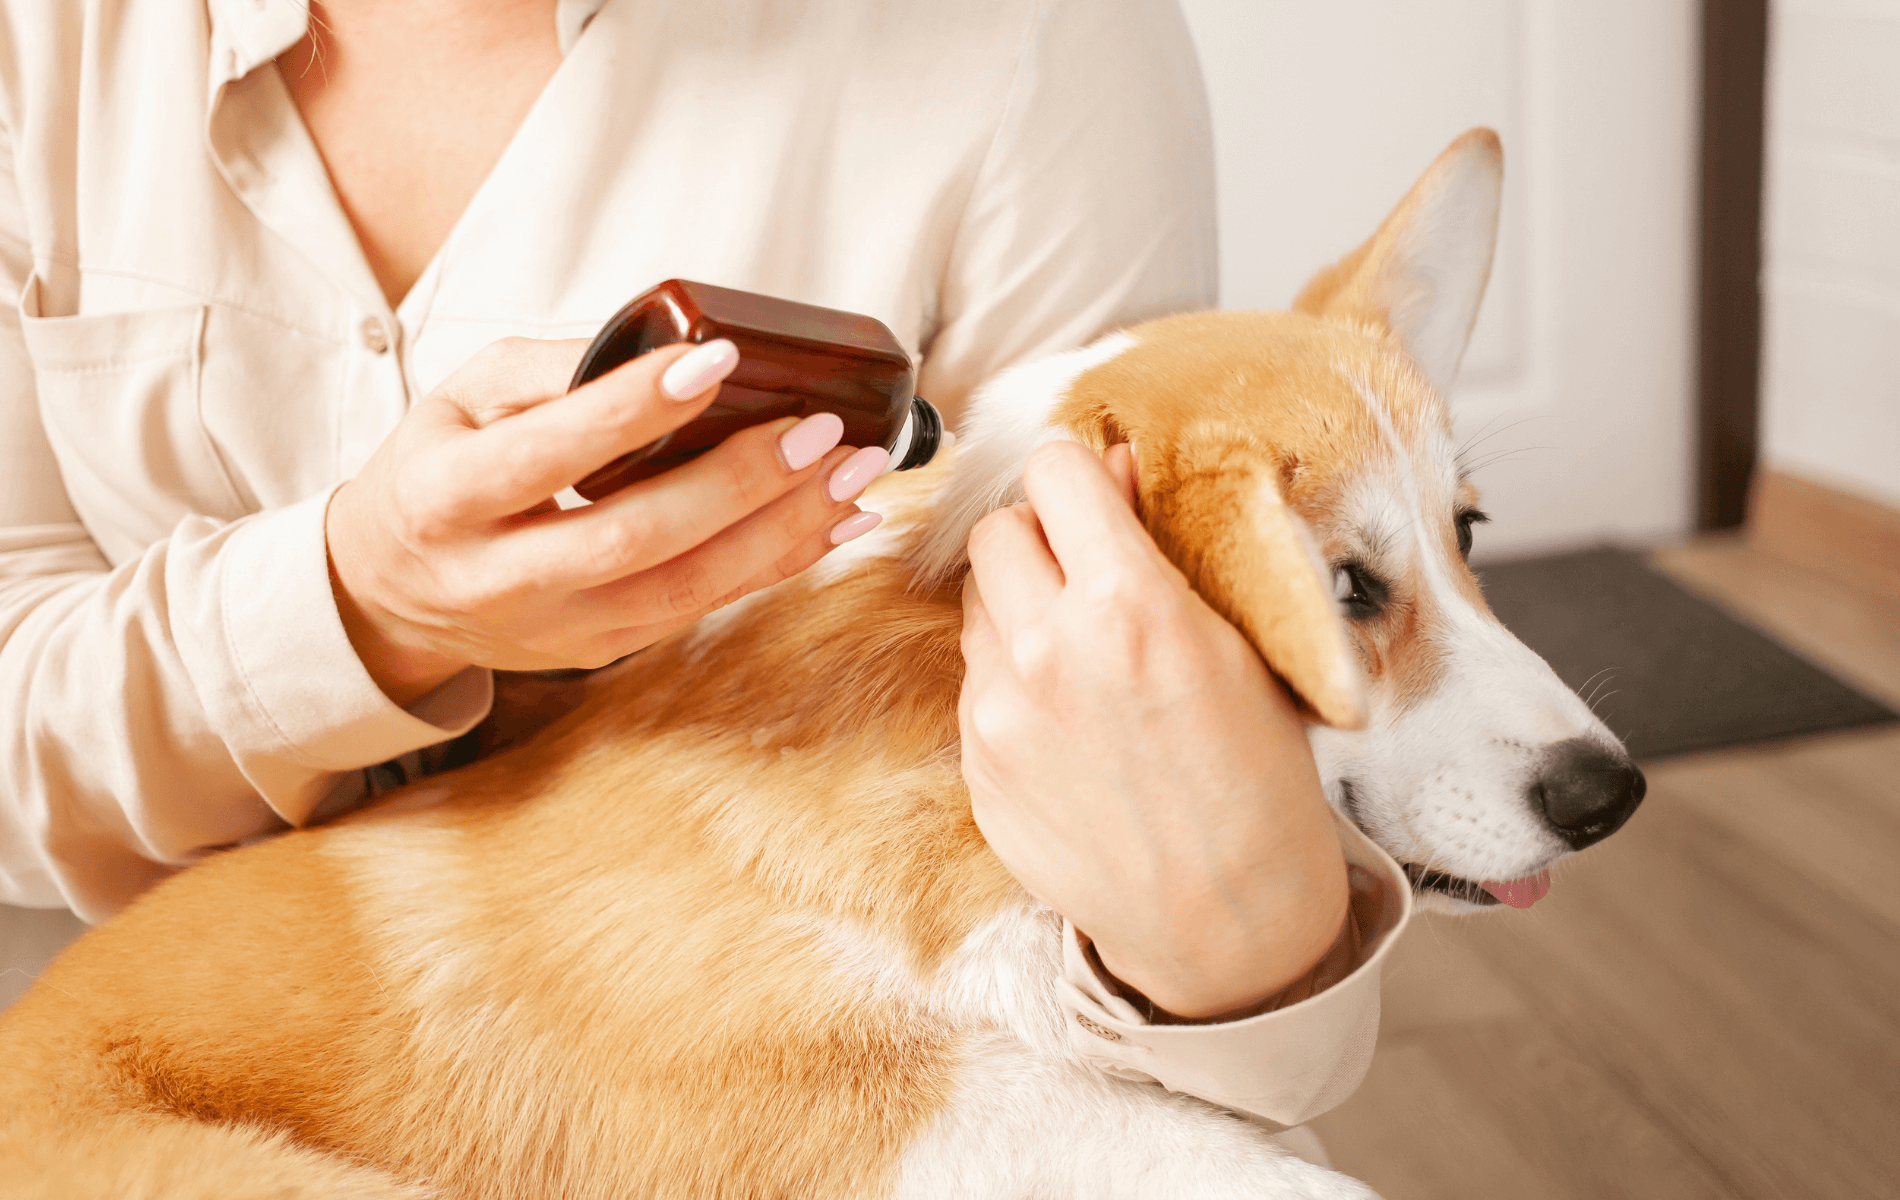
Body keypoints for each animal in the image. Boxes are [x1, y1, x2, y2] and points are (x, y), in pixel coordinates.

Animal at [0, 131, 1634, 1200]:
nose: (1608, 794)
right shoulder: (829, 1110)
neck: (943, 759)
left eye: (1468, 536)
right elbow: (1266, 1173)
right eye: (1346, 590)